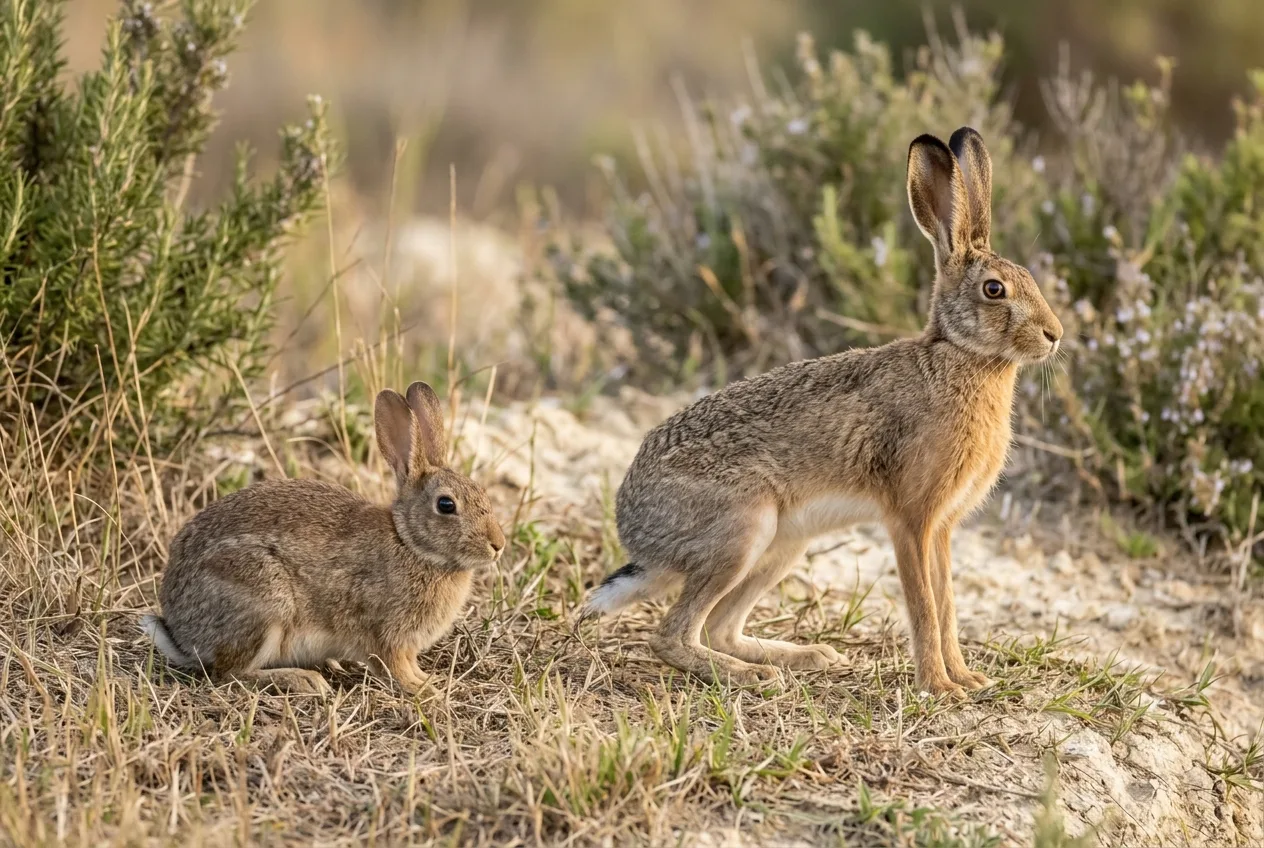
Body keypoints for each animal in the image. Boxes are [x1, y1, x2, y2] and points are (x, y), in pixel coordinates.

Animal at [140, 381, 506, 695]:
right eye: (446, 505)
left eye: (482, 492)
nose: (498, 545)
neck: (410, 543)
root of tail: (182, 633)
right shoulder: (385, 634)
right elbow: (394, 666)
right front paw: (423, 687)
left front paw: (429, 679)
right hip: (263, 600)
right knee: (228, 673)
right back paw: (302, 679)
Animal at [583, 128, 1063, 698]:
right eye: (995, 289)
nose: (1055, 334)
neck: (961, 356)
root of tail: (635, 529)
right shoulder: (910, 520)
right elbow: (925, 606)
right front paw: (937, 686)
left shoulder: (942, 529)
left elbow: (947, 604)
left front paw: (966, 677)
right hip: (742, 529)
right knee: (673, 634)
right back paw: (753, 676)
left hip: (784, 545)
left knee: (721, 627)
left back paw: (808, 657)